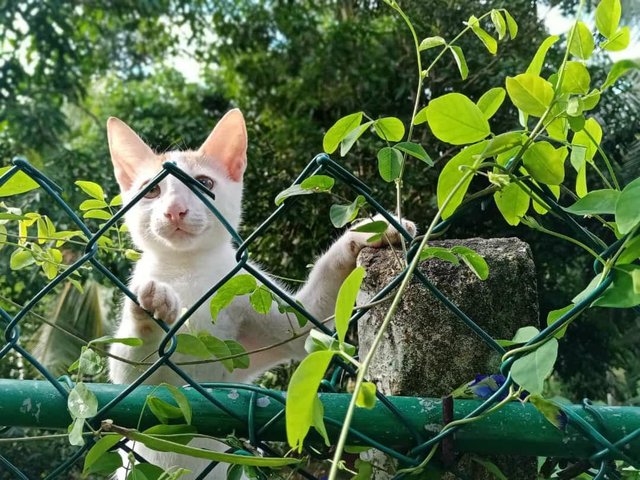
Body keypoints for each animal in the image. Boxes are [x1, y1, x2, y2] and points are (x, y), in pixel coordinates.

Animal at [106, 110, 416, 478]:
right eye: (152, 190)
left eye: (204, 184)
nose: (175, 210)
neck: (189, 267)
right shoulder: (140, 390)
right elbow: (131, 376)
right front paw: (150, 308)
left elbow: (303, 326)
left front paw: (366, 234)